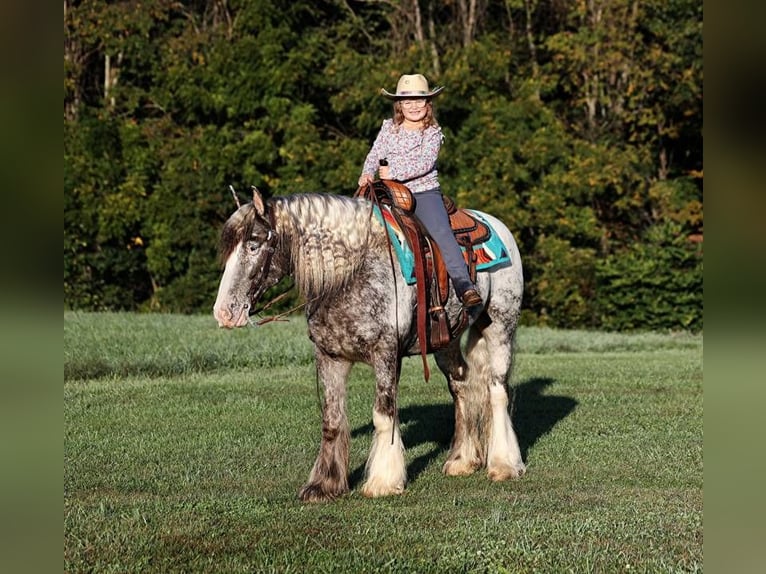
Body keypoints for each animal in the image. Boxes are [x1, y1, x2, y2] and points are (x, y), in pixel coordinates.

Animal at [214, 190, 528, 504]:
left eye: (253, 245)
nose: (224, 313)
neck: (351, 274)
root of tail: (498, 226)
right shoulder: (329, 357)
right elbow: (332, 419)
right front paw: (324, 485)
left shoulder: (386, 354)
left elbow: (383, 414)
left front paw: (383, 481)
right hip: (446, 342)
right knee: (462, 387)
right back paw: (461, 461)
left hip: (500, 325)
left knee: (497, 391)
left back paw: (504, 464)